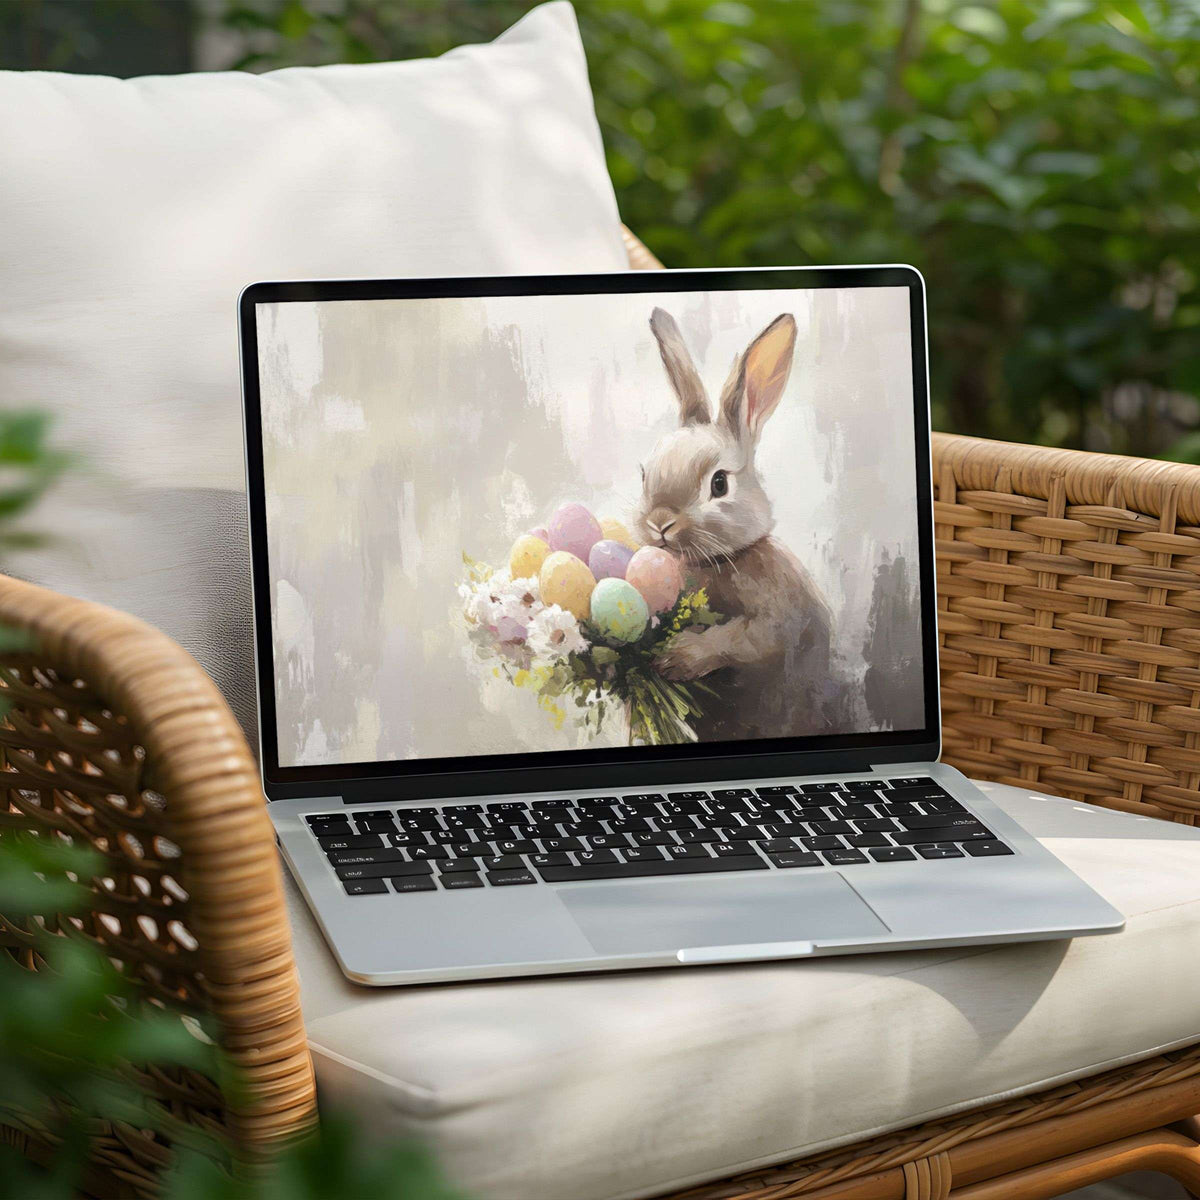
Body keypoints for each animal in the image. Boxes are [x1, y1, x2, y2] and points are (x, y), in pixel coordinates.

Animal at [636, 306, 837, 743]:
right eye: (644, 475)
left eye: (719, 483)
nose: (660, 523)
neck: (714, 561)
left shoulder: (777, 621)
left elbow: (740, 637)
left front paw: (676, 657)